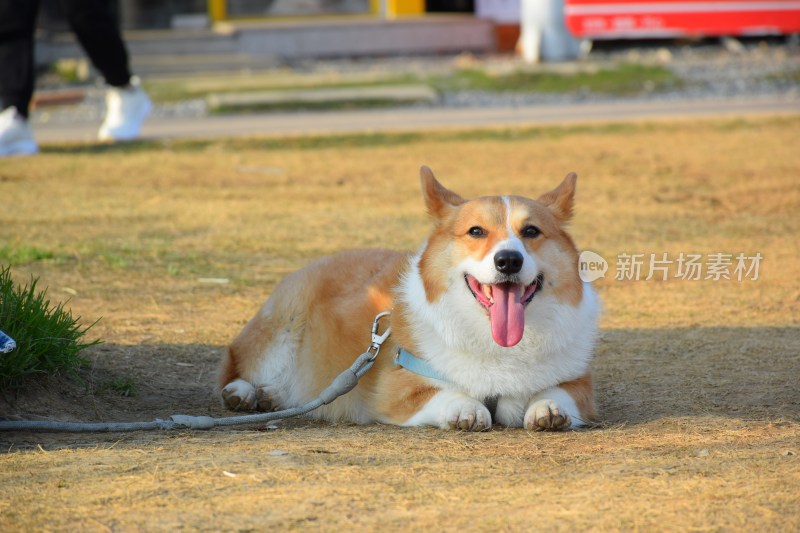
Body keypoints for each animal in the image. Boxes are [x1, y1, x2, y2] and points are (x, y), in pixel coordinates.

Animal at [219, 168, 600, 430]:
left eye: (531, 231)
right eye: (476, 231)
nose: (508, 260)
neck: (496, 343)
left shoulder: (578, 384)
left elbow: (557, 392)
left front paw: (548, 408)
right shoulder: (397, 389)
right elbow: (443, 394)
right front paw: (465, 408)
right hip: (280, 327)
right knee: (237, 367)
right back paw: (246, 393)